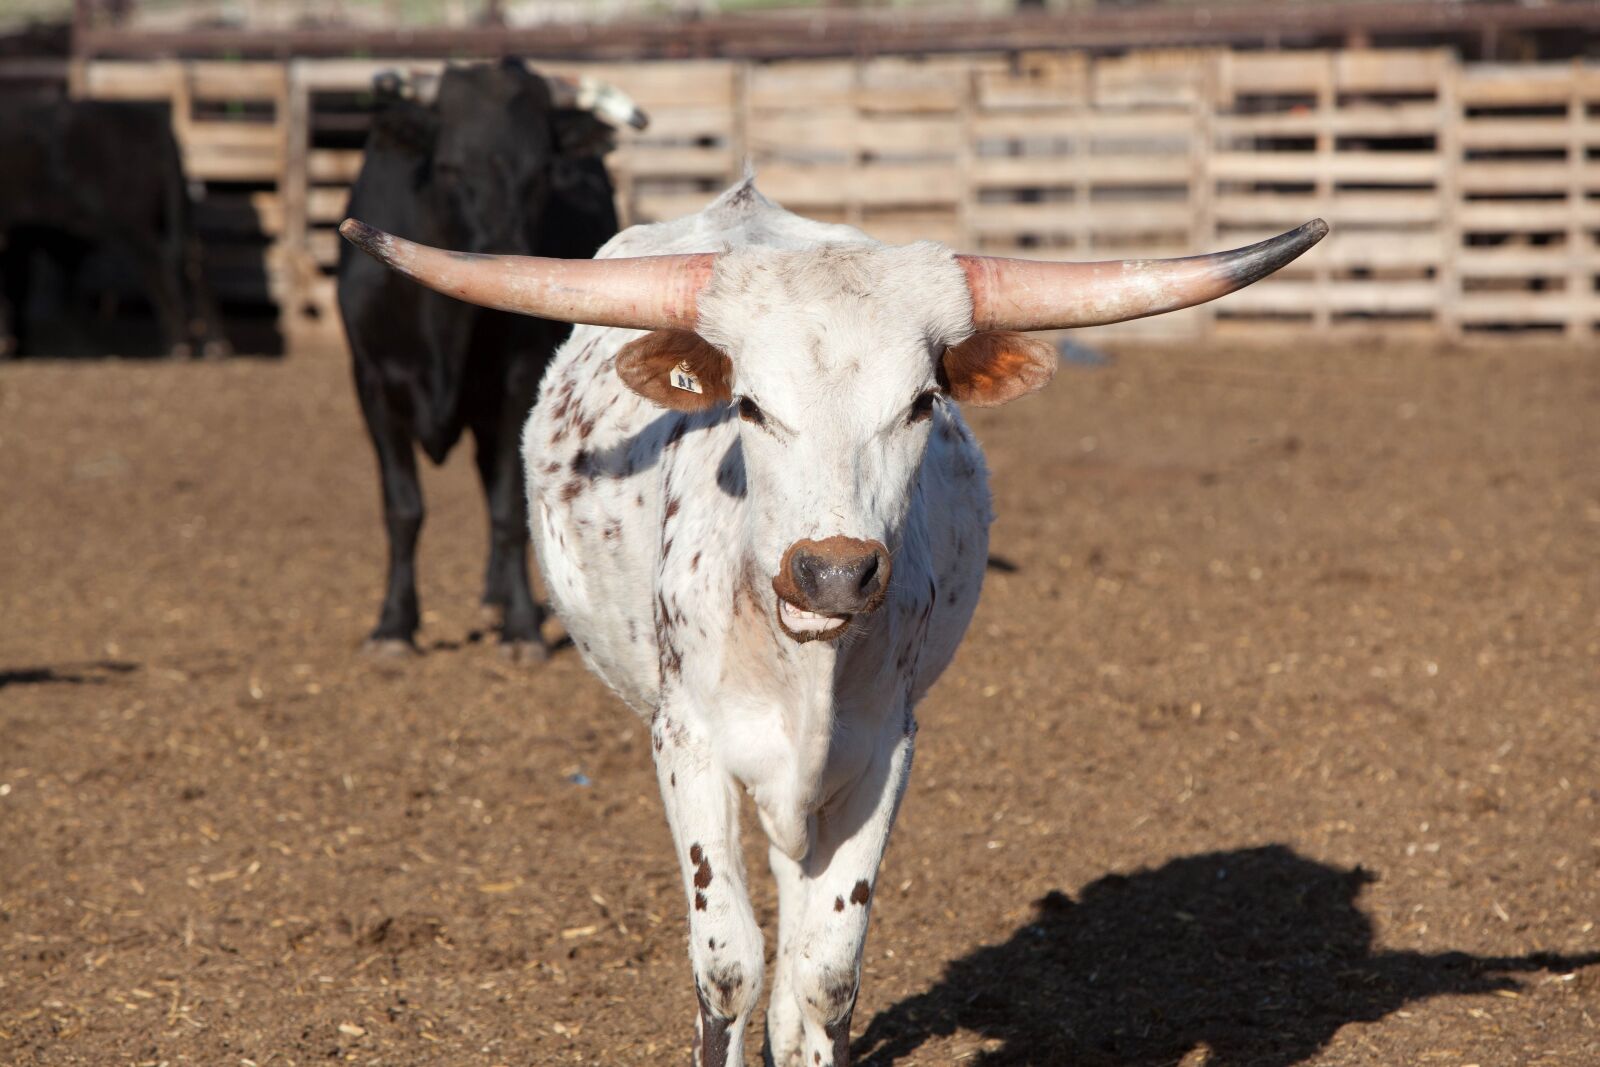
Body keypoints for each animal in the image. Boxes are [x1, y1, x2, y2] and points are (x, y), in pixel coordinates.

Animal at [0, 98, 224, 358]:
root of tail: (155, 123)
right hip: (170, 216)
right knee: (193, 260)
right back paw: (213, 344)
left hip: (133, 224)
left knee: (159, 265)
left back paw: (178, 346)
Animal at [336, 60, 633, 659]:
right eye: (450, 168)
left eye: (541, 172)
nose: (505, 258)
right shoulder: (373, 383)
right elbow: (403, 508)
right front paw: (394, 627)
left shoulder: (518, 386)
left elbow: (505, 508)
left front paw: (520, 629)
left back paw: (499, 599)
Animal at [340, 181, 1326, 1065]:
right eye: (749, 405)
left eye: (922, 403)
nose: (834, 570)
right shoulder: (684, 740)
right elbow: (727, 965)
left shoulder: (884, 745)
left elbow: (827, 971)